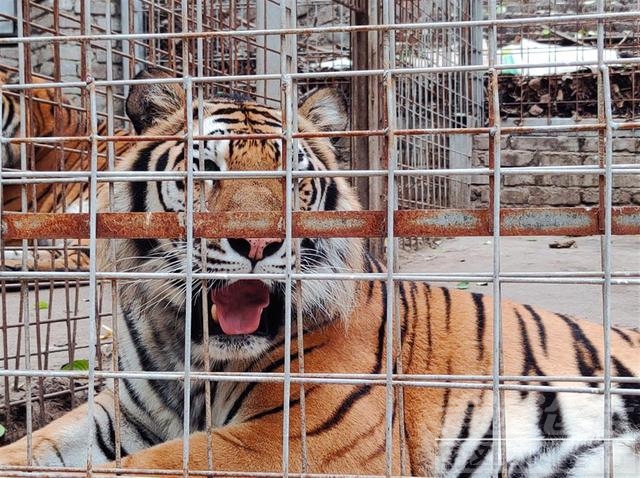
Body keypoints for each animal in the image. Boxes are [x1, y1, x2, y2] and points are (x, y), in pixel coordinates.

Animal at [0, 69, 636, 476]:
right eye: (206, 172)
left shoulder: (293, 441)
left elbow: (145, 468)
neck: (188, 349)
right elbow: (36, 448)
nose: (258, 243)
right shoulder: (122, 413)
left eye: (292, 180)